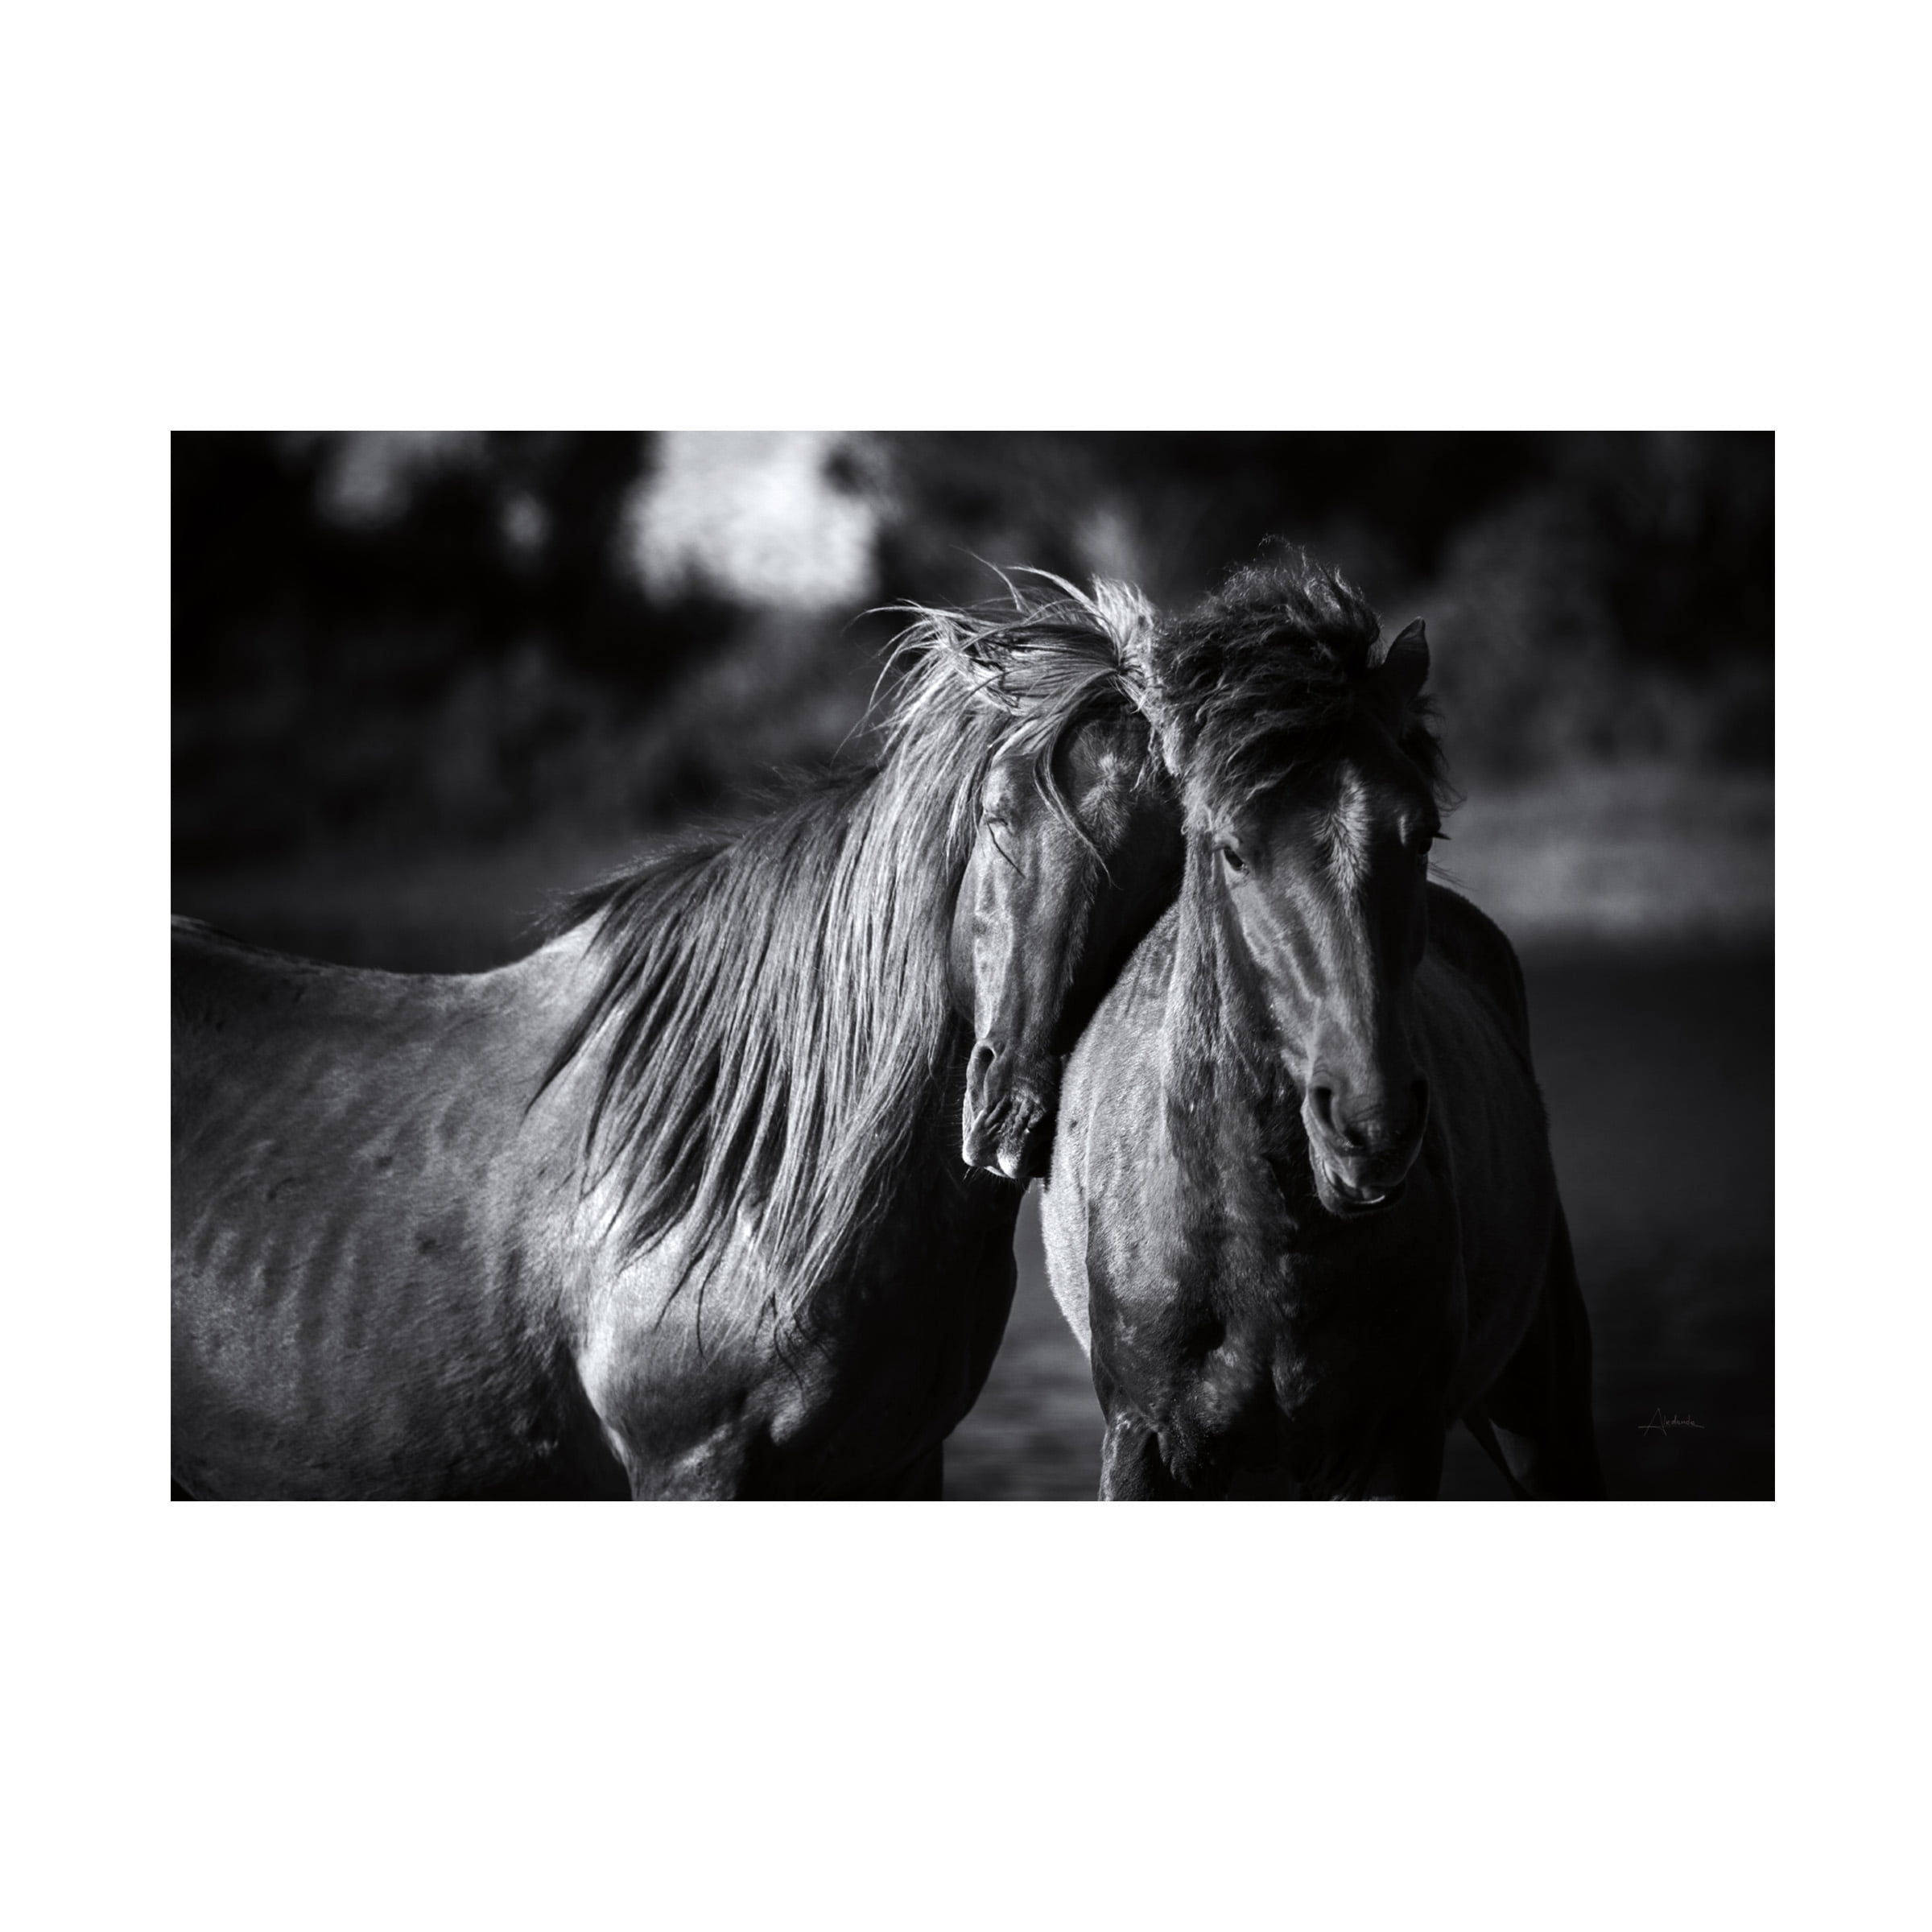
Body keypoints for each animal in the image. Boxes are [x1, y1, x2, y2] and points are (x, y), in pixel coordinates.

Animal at [172, 577, 1182, 1498]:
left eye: (1164, 862)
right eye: (996, 813)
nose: (1012, 1118)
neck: (760, 1161)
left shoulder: (899, 1466)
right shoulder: (692, 1465)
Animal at [1040, 555, 1606, 1498]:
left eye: (1424, 833)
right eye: (1231, 849)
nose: (1373, 1126)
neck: (1268, 1250)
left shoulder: (1397, 1445)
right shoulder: (1141, 1446)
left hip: (1542, 1406)